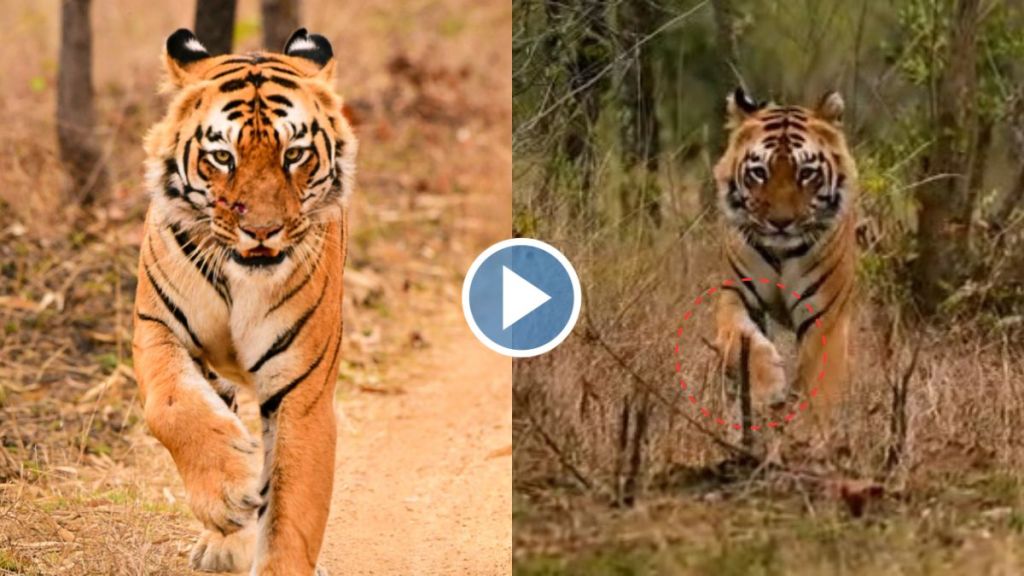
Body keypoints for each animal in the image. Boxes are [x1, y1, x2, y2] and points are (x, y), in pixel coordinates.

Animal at [132, 28, 356, 575]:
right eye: (222, 157)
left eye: (294, 154)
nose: (262, 230)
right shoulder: (155, 327)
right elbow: (171, 406)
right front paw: (228, 493)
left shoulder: (301, 391)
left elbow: (290, 511)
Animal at [712, 88, 856, 428]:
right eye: (759, 173)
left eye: (806, 173)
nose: (780, 222)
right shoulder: (736, 297)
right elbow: (743, 342)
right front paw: (768, 389)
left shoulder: (827, 316)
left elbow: (819, 384)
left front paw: (807, 430)